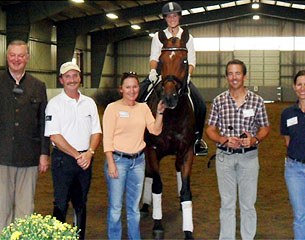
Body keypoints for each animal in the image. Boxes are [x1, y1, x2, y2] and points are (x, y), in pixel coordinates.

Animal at [142, 30, 197, 240]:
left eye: (184, 61)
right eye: (161, 61)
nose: (169, 98)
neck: (172, 116)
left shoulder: (187, 151)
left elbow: (186, 191)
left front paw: (188, 231)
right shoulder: (152, 150)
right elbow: (157, 185)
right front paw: (158, 226)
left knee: (178, 170)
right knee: (149, 174)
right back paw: (145, 206)